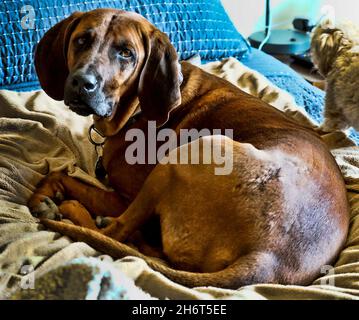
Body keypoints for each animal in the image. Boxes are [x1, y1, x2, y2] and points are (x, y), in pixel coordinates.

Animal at [27, 8, 348, 288]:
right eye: (82, 40)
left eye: (126, 53)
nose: (82, 83)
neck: (138, 109)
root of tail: (267, 257)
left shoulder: (122, 197)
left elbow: (63, 176)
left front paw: (44, 196)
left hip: (186, 156)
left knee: (116, 231)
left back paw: (74, 211)